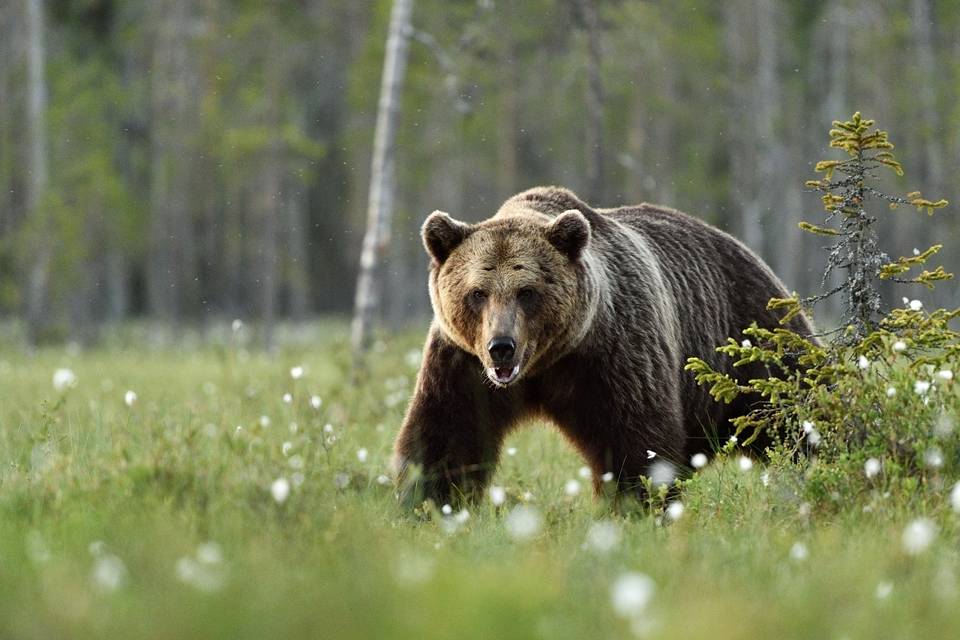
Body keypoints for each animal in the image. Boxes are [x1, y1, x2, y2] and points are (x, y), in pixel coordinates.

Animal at [394, 188, 812, 508]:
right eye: (477, 293)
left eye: (527, 292)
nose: (502, 347)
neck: (545, 363)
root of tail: (747, 251)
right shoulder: (462, 361)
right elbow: (446, 435)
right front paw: (425, 503)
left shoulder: (613, 353)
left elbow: (636, 443)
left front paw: (636, 507)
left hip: (755, 344)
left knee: (798, 415)